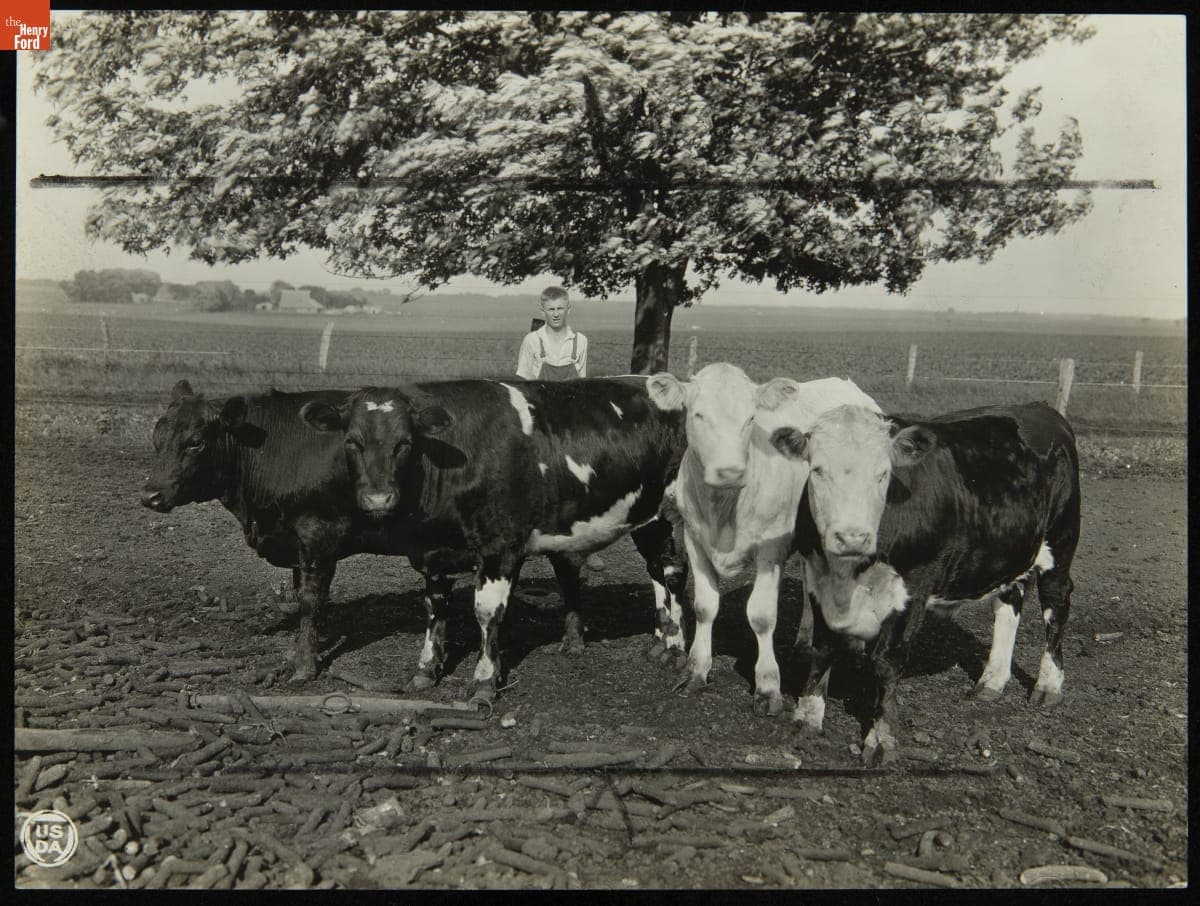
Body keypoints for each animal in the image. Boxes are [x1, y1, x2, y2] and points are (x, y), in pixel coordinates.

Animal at [300, 376, 691, 703]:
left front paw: (485, 681)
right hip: (646, 517)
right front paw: (426, 670)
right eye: (352, 442)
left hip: (673, 512)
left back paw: (675, 647)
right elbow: (434, 609)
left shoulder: (499, 546)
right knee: (657, 569)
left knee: (673, 573)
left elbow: (487, 613)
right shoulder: (434, 551)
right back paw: (660, 640)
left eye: (405, 443)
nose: (378, 499)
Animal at [646, 363, 882, 716]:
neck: (724, 508)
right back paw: (803, 641)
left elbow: (761, 615)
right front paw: (697, 670)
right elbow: (704, 607)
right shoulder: (694, 540)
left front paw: (768, 687)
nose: (730, 471)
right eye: (698, 415)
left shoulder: (772, 549)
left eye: (750, 418)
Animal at [769, 401, 1081, 766]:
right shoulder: (819, 582)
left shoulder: (912, 589)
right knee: (1008, 605)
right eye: (817, 470)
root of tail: (1041, 409)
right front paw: (807, 716)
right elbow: (822, 649)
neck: (850, 573)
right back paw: (992, 680)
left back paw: (1048, 684)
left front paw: (881, 739)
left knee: (1056, 607)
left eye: (883, 474)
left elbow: (885, 664)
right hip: (1008, 555)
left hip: (1060, 543)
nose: (852, 537)